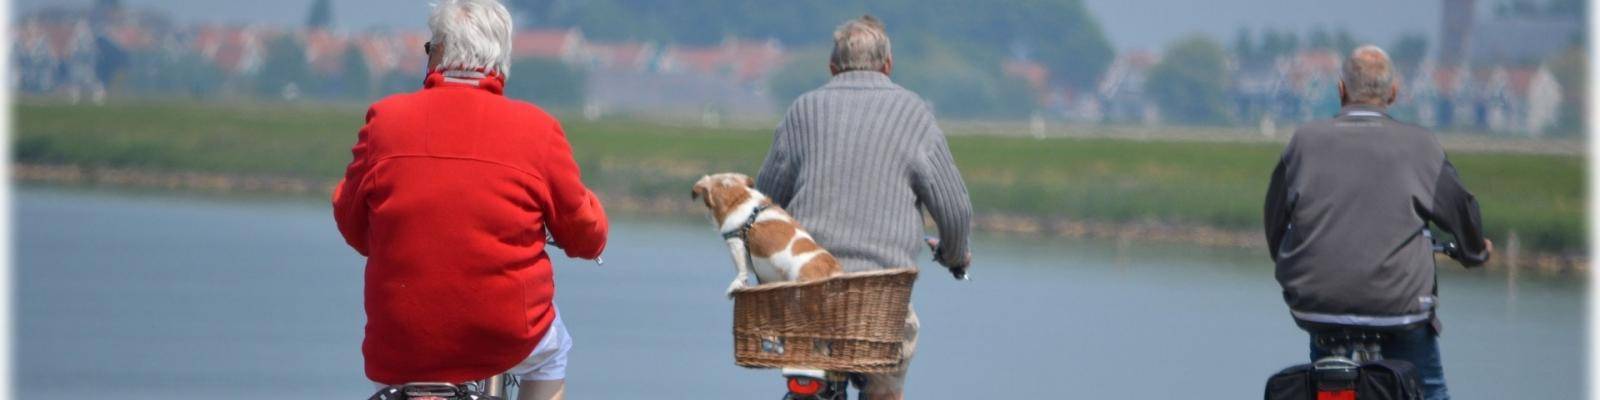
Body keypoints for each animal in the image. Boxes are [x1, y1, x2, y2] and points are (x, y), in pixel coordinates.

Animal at [691, 171, 844, 294]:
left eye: (706, 202)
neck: (739, 197)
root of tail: (833, 270)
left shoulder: (735, 243)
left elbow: (741, 270)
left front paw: (736, 285)